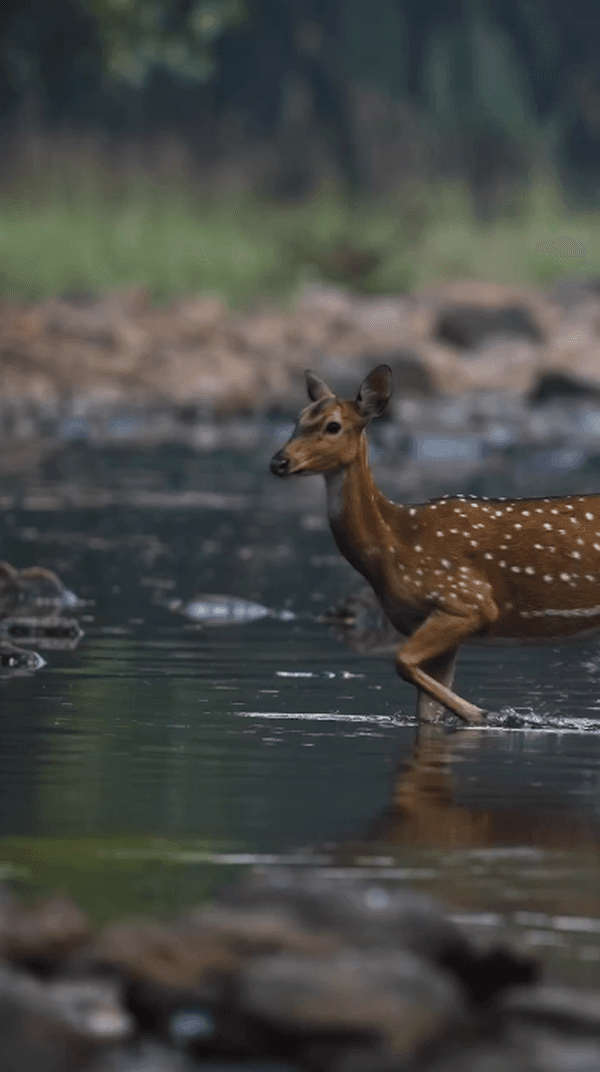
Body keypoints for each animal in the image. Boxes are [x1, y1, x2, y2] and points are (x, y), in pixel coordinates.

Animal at [271, 364, 600, 724]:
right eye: (298, 419)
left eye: (333, 426)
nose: (278, 462)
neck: (391, 548)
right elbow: (424, 710)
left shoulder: (467, 600)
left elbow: (401, 661)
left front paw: (482, 714)